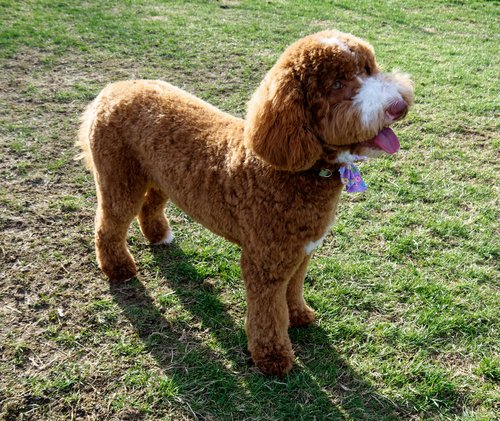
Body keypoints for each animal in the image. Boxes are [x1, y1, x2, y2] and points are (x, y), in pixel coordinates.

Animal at [78, 31, 414, 376]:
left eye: (369, 69)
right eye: (336, 84)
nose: (398, 106)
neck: (294, 169)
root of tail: (113, 89)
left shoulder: (302, 251)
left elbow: (293, 289)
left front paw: (299, 315)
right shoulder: (264, 261)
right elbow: (268, 313)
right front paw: (273, 357)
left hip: (161, 176)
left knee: (150, 205)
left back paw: (158, 235)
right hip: (119, 176)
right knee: (109, 223)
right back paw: (118, 268)